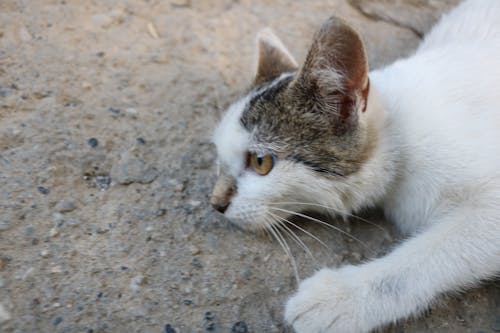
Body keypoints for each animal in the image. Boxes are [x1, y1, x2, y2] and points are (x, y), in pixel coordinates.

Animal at [209, 1, 500, 330]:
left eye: (261, 162)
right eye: (219, 154)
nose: (215, 203)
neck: (401, 136)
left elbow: (432, 253)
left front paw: (340, 299)